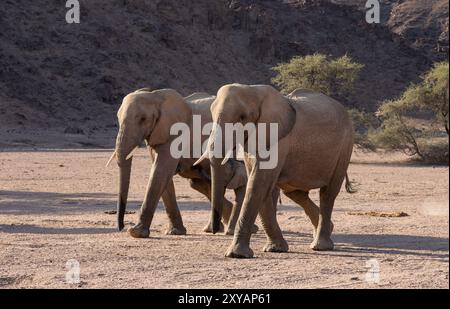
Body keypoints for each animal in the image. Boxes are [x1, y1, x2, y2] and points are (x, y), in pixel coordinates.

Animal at [106, 88, 253, 237]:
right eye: (118, 118)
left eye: (143, 119)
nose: (121, 227)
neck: (155, 96)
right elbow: (163, 176)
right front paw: (175, 232)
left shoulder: (174, 134)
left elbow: (160, 172)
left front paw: (136, 232)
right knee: (201, 183)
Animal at [197, 84, 356, 258]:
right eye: (211, 113)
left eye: (242, 117)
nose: (214, 230)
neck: (253, 90)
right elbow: (261, 184)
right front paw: (275, 249)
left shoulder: (278, 139)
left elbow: (258, 183)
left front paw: (237, 255)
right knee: (295, 192)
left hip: (345, 146)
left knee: (328, 193)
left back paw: (320, 246)